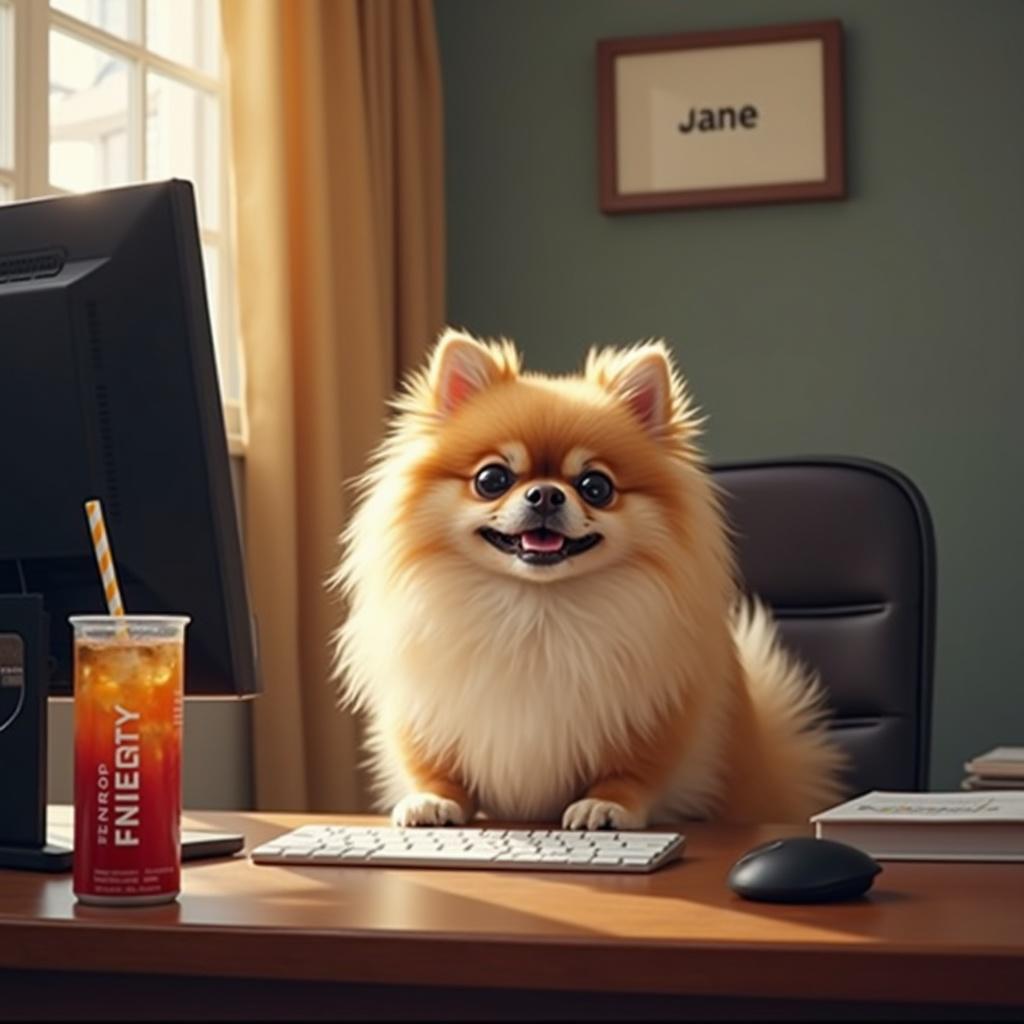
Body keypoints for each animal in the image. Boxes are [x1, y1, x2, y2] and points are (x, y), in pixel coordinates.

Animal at [331, 331, 843, 827]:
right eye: (492, 479)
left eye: (596, 487)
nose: (544, 494)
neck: (535, 607)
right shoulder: (427, 710)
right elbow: (431, 764)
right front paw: (431, 800)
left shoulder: (656, 713)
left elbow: (633, 771)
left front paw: (606, 805)